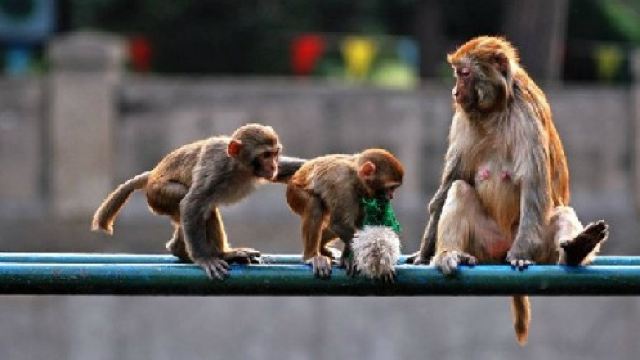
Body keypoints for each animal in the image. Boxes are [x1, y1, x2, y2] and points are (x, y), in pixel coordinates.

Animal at [410, 38, 608, 344]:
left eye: (464, 73)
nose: (455, 91)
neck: (494, 110)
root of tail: (501, 245)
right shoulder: (462, 121)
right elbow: (450, 185)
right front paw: (424, 253)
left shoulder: (526, 115)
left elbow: (534, 187)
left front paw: (521, 255)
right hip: (484, 244)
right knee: (460, 190)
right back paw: (450, 254)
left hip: (540, 248)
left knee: (560, 212)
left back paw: (576, 250)